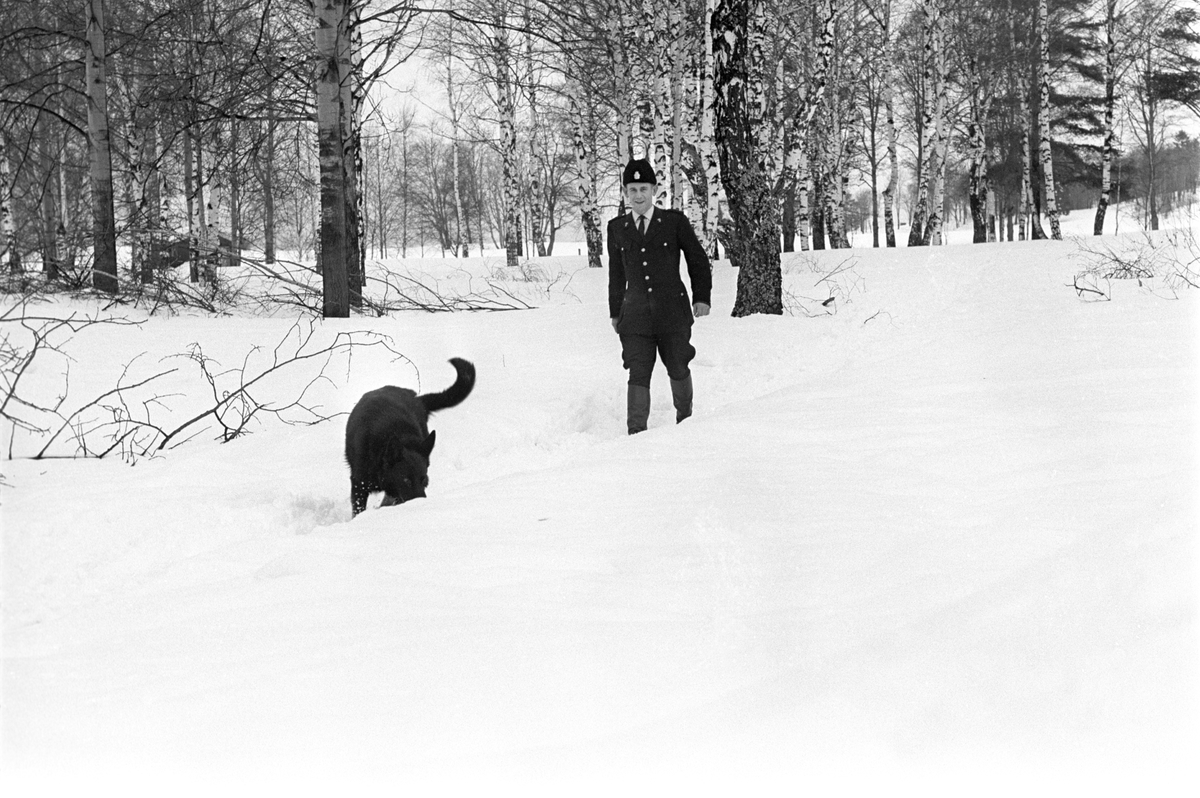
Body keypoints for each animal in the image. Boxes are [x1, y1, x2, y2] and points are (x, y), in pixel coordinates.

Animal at [345, 355, 475, 516]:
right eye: (406, 480)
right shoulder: (359, 483)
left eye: (424, 480)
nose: (420, 504)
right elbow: (358, 509)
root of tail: (417, 399)